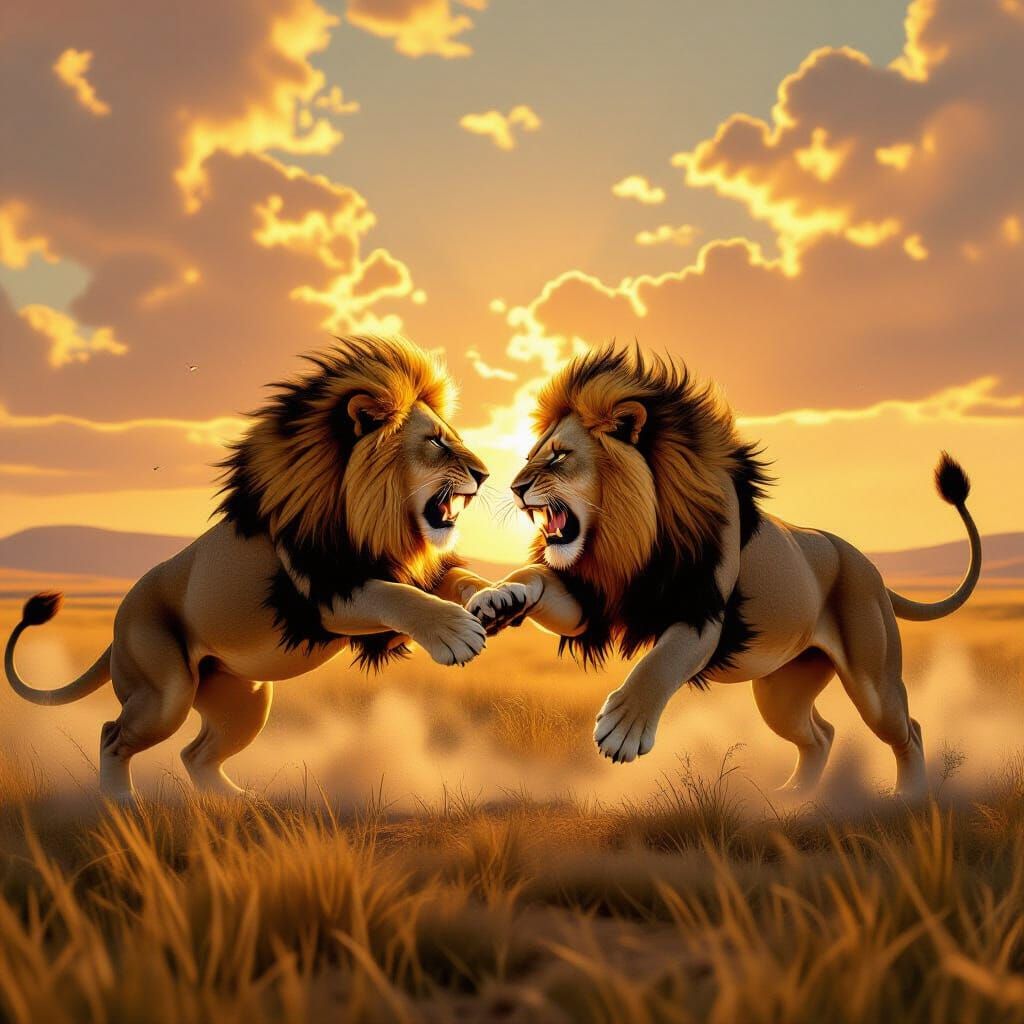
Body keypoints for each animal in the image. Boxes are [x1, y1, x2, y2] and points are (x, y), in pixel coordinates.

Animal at [5, 335, 493, 800]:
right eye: (436, 441)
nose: (485, 474)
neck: (377, 523)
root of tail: (116, 629)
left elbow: (455, 579)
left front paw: (494, 595)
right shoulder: (323, 593)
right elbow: (394, 594)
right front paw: (455, 634)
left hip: (246, 697)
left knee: (195, 753)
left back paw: (240, 801)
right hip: (165, 691)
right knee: (112, 733)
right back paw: (120, 800)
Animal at [469, 344, 981, 797]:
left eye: (558, 456)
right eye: (529, 456)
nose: (513, 487)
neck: (629, 539)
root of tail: (871, 569)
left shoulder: (703, 613)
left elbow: (660, 661)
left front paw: (624, 727)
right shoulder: (589, 601)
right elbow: (536, 576)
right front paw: (498, 597)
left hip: (873, 684)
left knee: (908, 728)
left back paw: (908, 795)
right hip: (781, 694)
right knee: (822, 734)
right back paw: (796, 796)